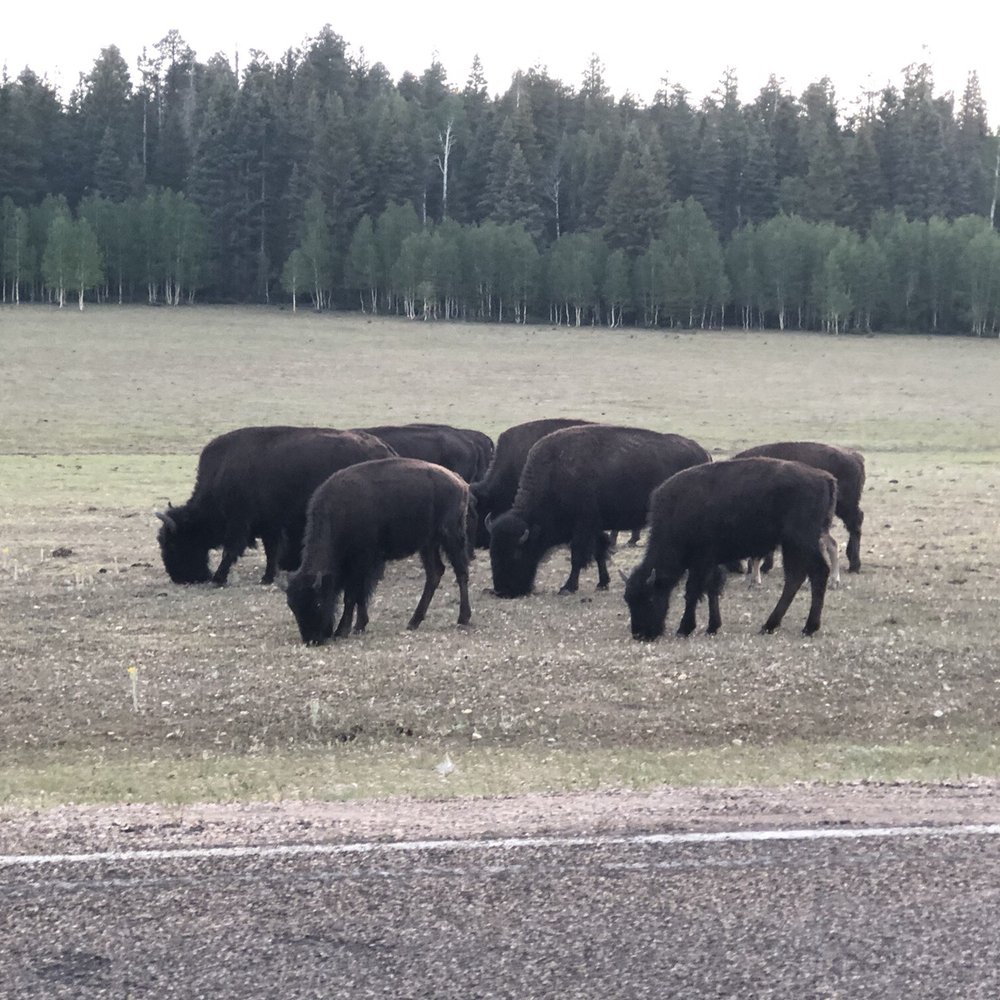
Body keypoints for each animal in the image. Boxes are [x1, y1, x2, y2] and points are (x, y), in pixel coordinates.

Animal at [156, 426, 393, 586]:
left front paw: (218, 578)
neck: (221, 475)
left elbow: (231, 550)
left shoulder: (240, 523)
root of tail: (383, 449)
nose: (180, 578)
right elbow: (271, 551)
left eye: (173, 544)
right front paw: (268, 577)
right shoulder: (269, 525)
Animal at [285, 457, 473, 644]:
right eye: (293, 606)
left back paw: (462, 619)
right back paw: (414, 621)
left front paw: (342, 630)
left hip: (451, 536)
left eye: (317, 602)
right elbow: (361, 594)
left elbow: (352, 595)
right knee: (435, 573)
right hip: (428, 544)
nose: (312, 640)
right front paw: (359, 626)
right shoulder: (366, 564)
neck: (341, 513)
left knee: (461, 572)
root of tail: (459, 482)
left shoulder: (361, 562)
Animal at [488, 424, 712, 598]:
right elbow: (599, 552)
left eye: (516, 553)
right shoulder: (595, 526)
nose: (503, 591)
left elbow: (579, 556)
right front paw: (602, 583)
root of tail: (703, 453)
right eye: (492, 553)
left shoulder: (583, 526)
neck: (555, 475)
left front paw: (567, 587)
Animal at [624, 457, 837, 639]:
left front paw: (684, 628)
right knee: (794, 578)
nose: (640, 634)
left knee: (817, 572)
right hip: (792, 545)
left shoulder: (701, 561)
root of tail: (824, 478)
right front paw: (712, 627)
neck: (676, 511)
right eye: (628, 600)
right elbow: (712, 589)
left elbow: (692, 591)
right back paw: (769, 625)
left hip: (802, 541)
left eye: (649, 599)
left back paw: (808, 627)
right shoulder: (711, 562)